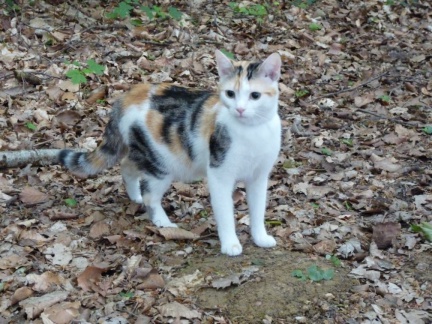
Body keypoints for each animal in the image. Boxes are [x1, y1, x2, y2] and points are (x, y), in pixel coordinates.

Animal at [60, 50, 284, 256]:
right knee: (150, 194)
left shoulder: (259, 176)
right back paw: (163, 222)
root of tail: (131, 94)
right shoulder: (220, 174)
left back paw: (135, 196)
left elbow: (258, 209)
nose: (239, 109)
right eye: (230, 94)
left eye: (255, 96)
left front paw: (260, 237)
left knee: (126, 165)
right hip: (161, 163)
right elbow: (225, 212)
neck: (252, 131)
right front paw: (230, 244)